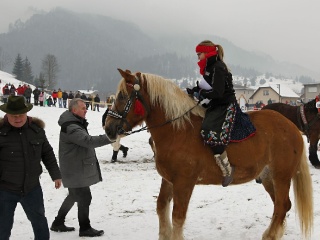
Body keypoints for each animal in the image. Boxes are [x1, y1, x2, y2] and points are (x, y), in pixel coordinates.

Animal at [104, 69, 312, 240]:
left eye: (122, 96)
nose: (108, 128)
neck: (177, 130)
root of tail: (291, 127)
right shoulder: (169, 180)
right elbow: (161, 207)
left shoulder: (184, 182)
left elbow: (177, 216)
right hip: (268, 176)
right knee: (282, 205)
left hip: (281, 176)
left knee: (281, 206)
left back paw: (269, 235)